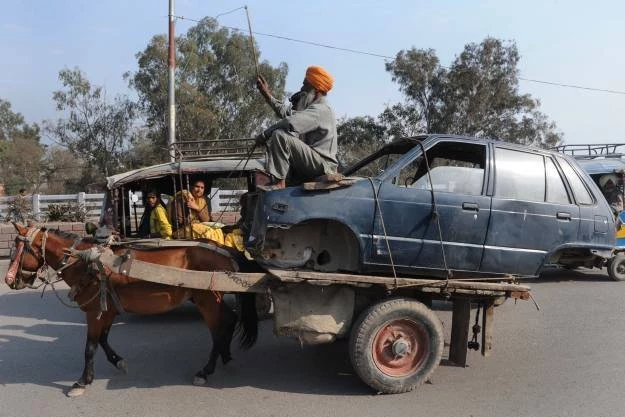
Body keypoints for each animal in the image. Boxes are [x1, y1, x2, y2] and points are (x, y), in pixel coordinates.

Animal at [4, 224, 258, 396]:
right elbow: (103, 340)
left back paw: (206, 370)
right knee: (229, 321)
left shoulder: (94, 312)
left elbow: (90, 347)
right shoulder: (106, 310)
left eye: (20, 249)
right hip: (206, 299)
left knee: (220, 328)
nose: (10, 281)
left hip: (208, 300)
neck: (84, 261)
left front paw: (82, 381)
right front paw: (118, 362)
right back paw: (225, 357)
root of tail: (223, 249)